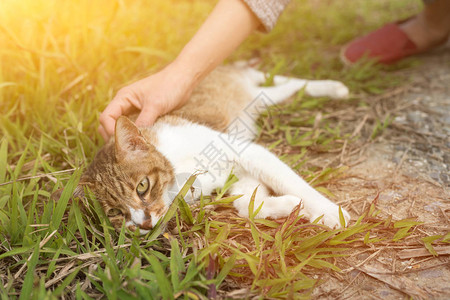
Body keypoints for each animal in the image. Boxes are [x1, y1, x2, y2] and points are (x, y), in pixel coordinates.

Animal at [73, 63, 352, 234]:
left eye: (143, 186)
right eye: (116, 212)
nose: (144, 224)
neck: (178, 179)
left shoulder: (245, 152)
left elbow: (292, 182)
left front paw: (330, 212)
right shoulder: (238, 175)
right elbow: (247, 204)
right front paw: (292, 206)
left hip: (253, 94)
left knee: (288, 83)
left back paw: (333, 87)